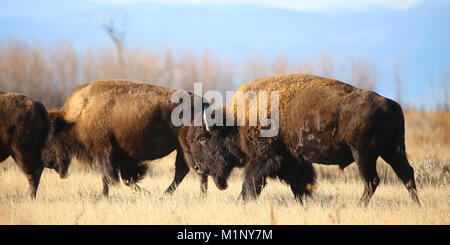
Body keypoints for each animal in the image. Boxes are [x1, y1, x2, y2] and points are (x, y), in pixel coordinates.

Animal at [41, 80, 207, 195]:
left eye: (50, 138)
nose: (47, 163)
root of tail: (202, 102)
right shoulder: (122, 157)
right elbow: (124, 179)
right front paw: (145, 193)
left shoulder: (103, 152)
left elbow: (108, 177)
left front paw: (104, 196)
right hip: (181, 149)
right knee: (185, 171)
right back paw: (166, 195)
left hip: (187, 147)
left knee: (195, 171)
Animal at [181, 73, 420, 207]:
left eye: (203, 139)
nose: (199, 167)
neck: (236, 121)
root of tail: (391, 104)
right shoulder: (292, 161)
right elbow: (301, 184)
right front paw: (305, 201)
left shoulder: (263, 160)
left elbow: (250, 182)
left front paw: (242, 202)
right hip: (392, 151)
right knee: (406, 174)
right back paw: (416, 204)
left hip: (364, 154)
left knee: (372, 181)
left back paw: (360, 207)